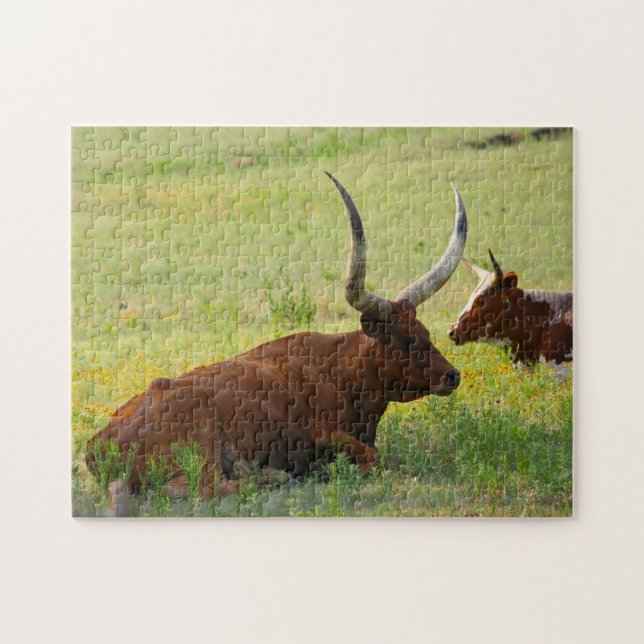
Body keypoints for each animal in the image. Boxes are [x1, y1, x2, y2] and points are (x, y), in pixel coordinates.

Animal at [86, 173, 468, 503]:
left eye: (424, 332)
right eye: (404, 339)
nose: (452, 376)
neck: (340, 372)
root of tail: (95, 443)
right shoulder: (322, 435)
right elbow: (375, 457)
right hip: (203, 439)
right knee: (201, 488)